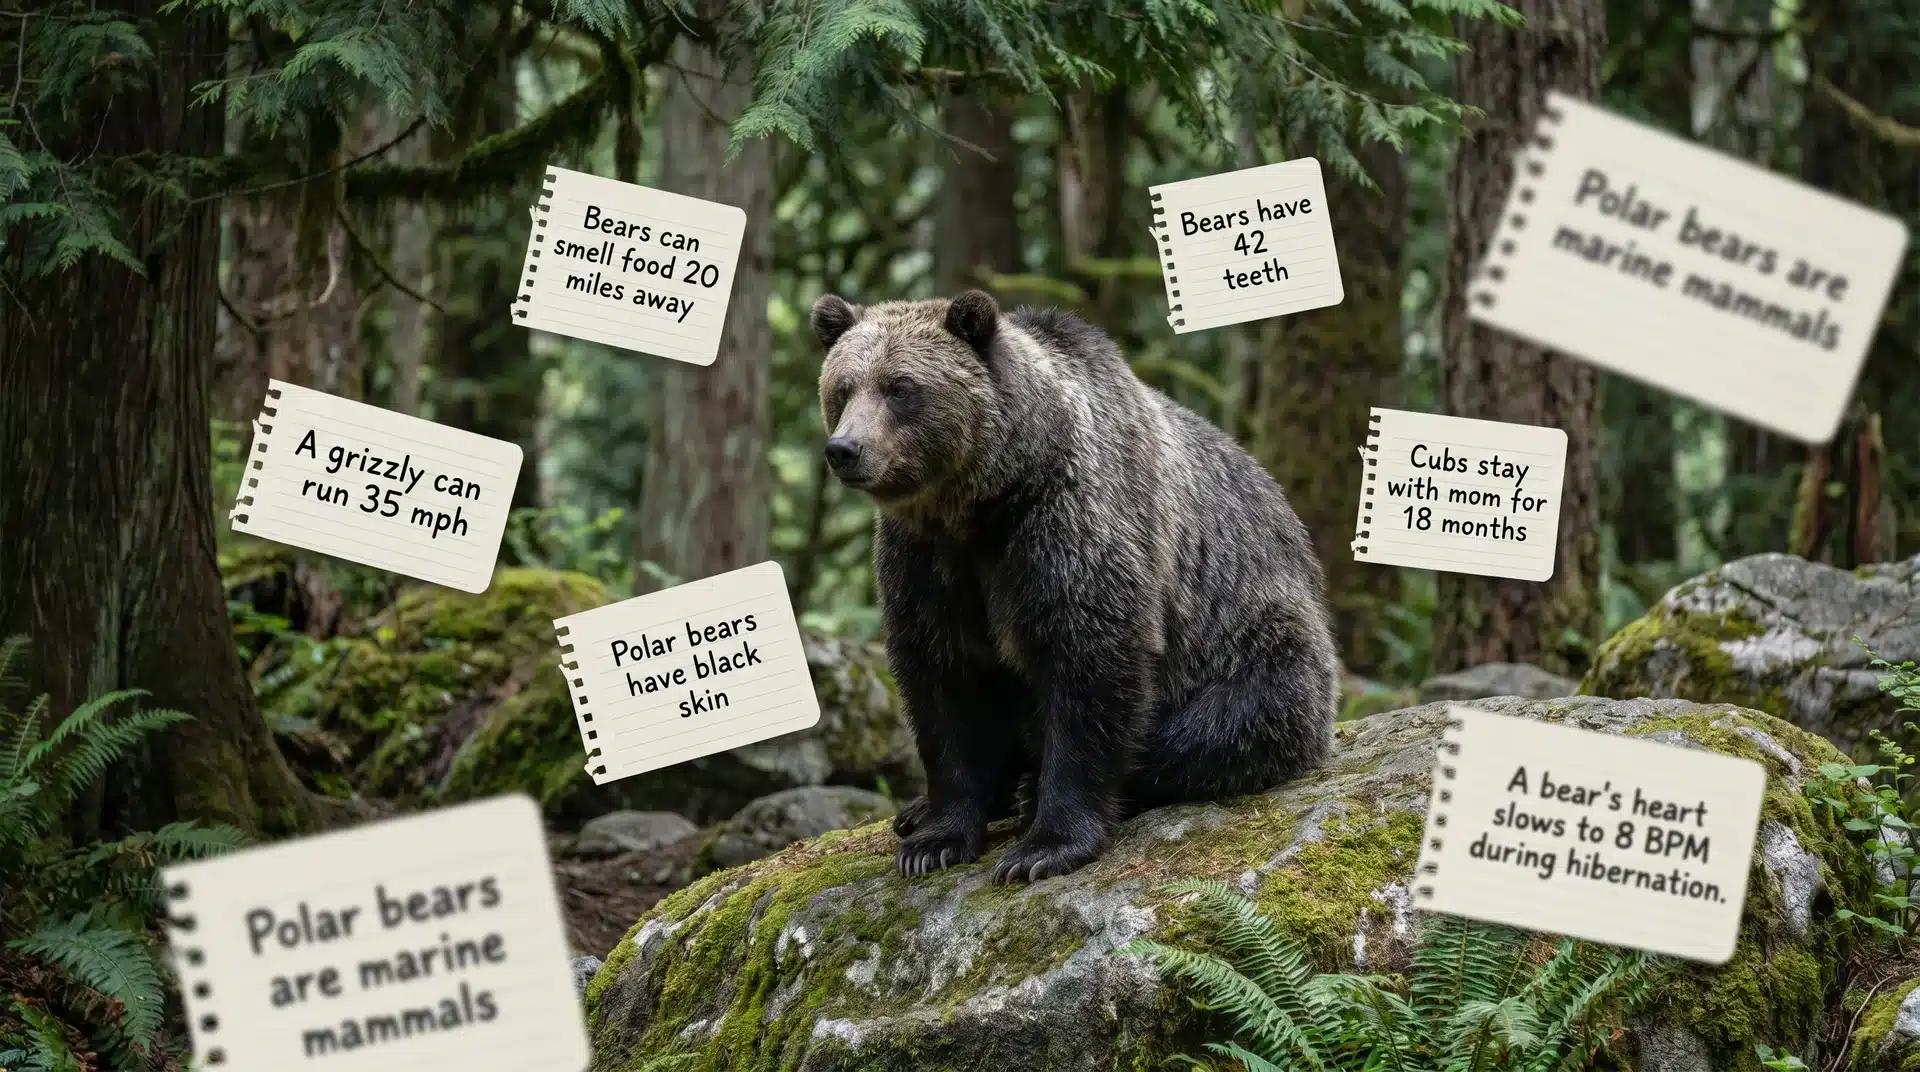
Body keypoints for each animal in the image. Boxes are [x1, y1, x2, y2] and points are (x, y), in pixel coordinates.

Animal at [811, 289, 1338, 883]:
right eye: (843, 387)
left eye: (900, 387)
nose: (845, 449)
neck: (980, 505)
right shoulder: (925, 561)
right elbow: (943, 680)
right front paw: (935, 838)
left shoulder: (1068, 523)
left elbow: (1088, 662)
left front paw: (1044, 846)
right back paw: (932, 806)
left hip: (1252, 631)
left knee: (1237, 717)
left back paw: (1029, 791)